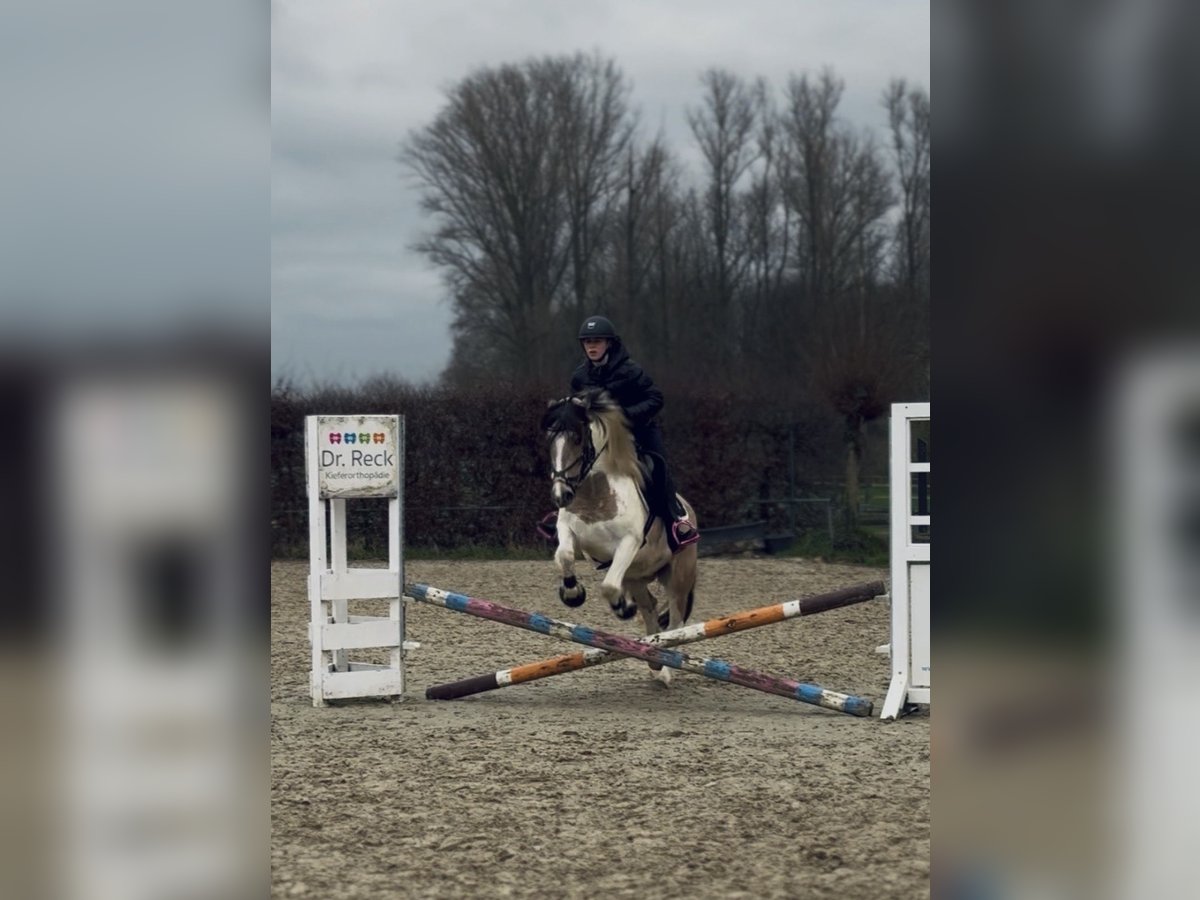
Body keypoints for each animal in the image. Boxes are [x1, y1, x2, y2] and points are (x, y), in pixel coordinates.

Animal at [541, 389, 698, 686]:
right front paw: (572, 593)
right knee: (650, 608)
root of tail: (688, 509)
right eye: (549, 440)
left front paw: (622, 607)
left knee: (675, 621)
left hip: (679, 573)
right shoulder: (571, 533)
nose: (560, 495)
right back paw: (654, 661)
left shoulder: (629, 543)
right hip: (637, 576)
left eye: (578, 439)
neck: (594, 493)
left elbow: (610, 585)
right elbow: (564, 555)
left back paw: (666, 668)